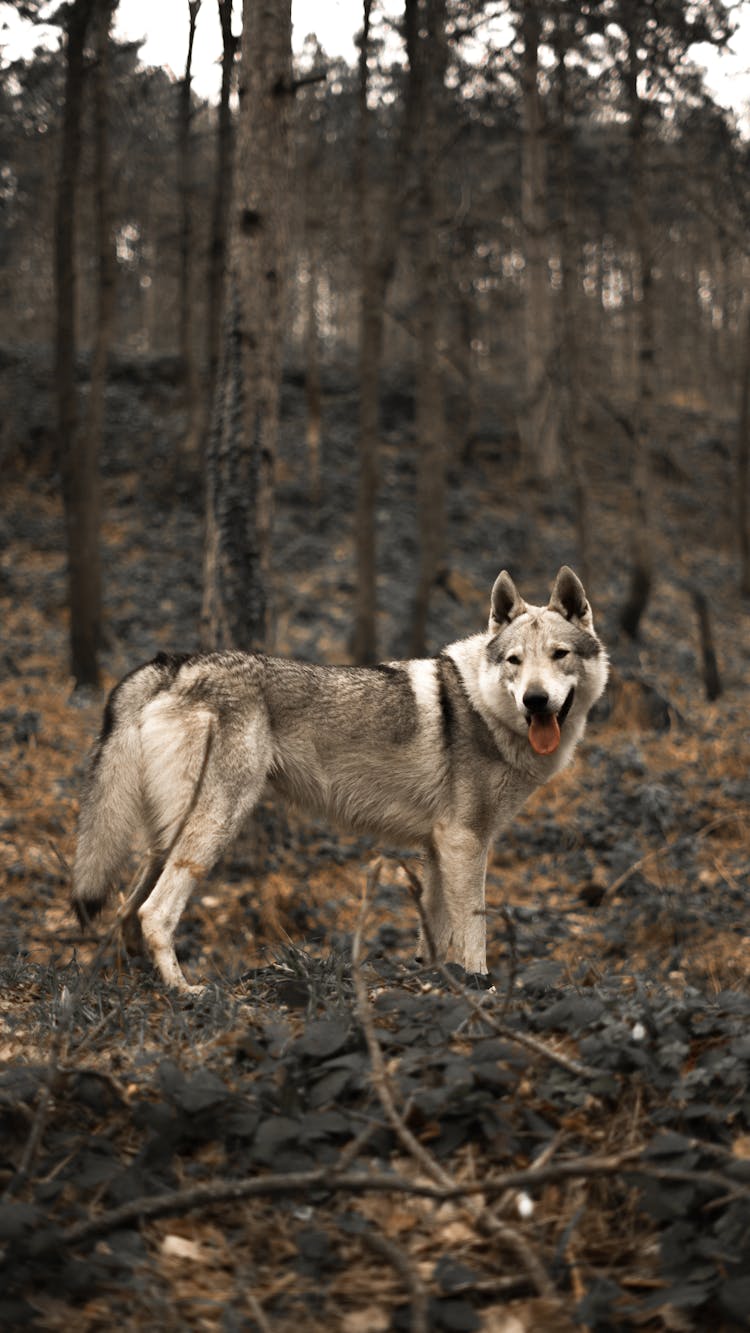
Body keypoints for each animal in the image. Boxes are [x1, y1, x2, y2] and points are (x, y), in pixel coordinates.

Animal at [71, 562, 610, 991]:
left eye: (559, 655)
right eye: (515, 661)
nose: (536, 701)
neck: (484, 710)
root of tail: (173, 664)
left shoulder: (438, 847)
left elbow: (435, 935)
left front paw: (436, 980)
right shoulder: (464, 842)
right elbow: (472, 932)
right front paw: (481, 987)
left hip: (171, 836)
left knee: (126, 909)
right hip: (214, 827)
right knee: (153, 913)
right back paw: (185, 990)